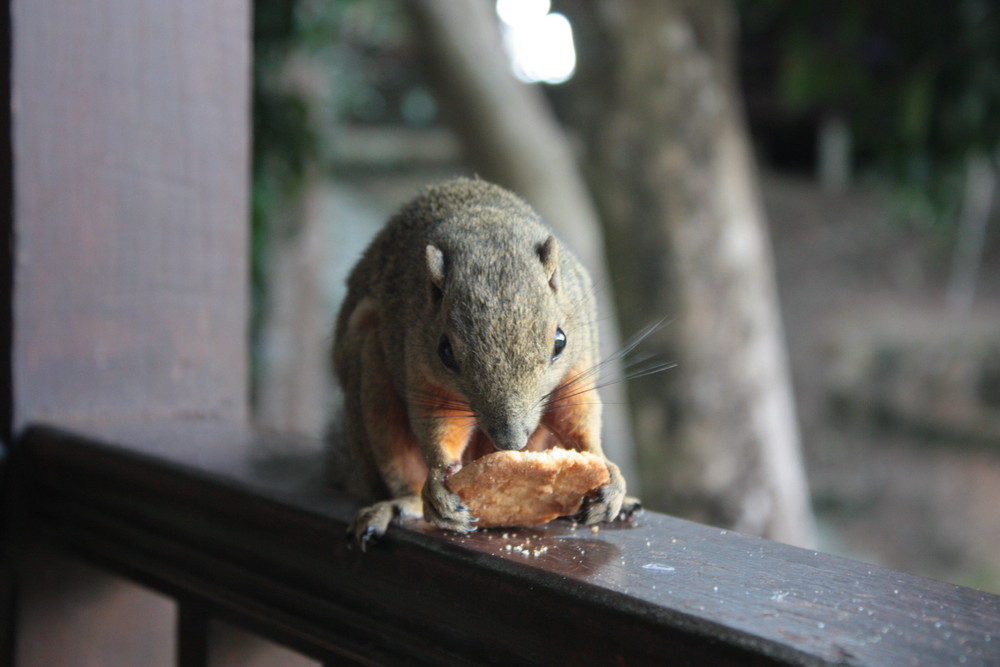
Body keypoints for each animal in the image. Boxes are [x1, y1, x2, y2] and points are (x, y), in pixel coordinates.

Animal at [330, 177, 640, 548]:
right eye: (445, 351)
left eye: (560, 341)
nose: (511, 443)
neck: (487, 229)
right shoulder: (421, 370)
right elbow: (438, 426)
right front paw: (439, 482)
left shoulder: (578, 368)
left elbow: (581, 418)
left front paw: (612, 478)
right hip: (371, 373)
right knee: (399, 468)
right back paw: (402, 503)